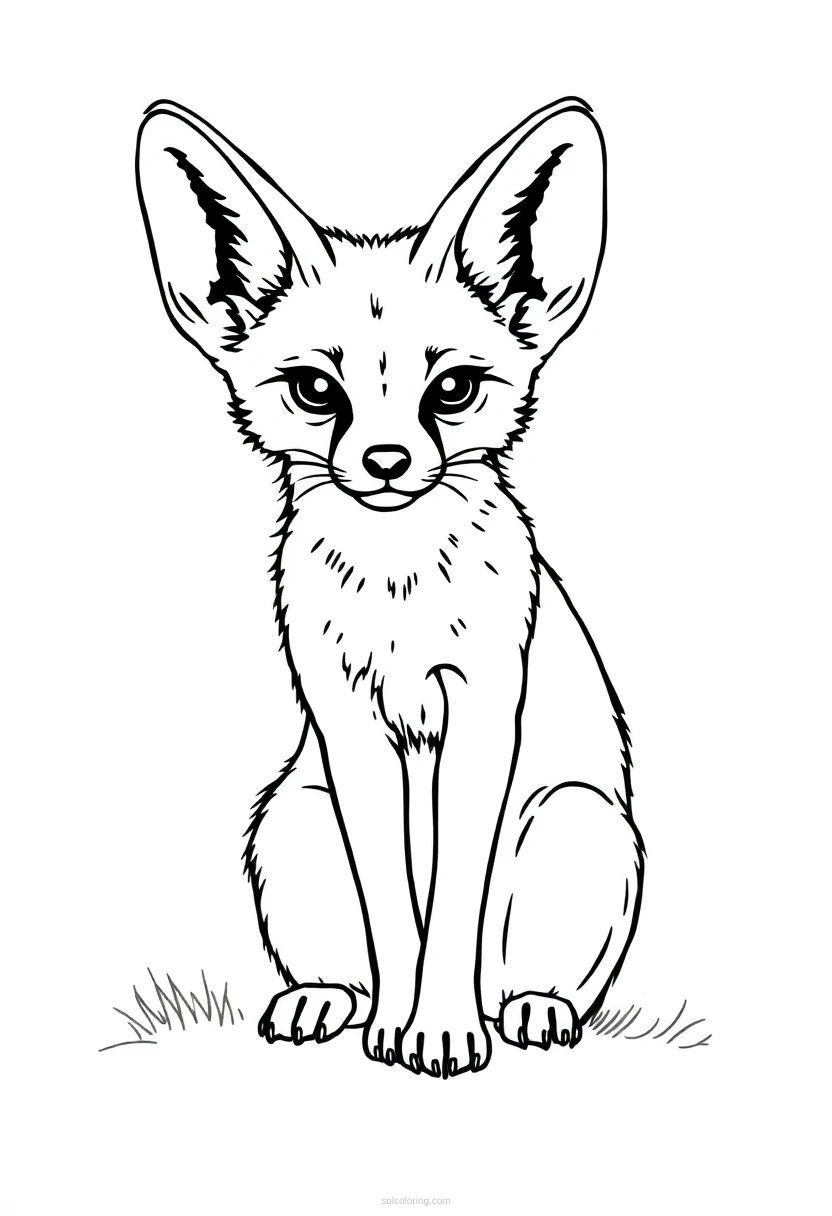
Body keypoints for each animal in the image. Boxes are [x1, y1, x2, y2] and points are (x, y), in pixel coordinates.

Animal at [136, 97, 644, 1078]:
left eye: (452, 390)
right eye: (312, 389)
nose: (385, 463)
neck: (396, 594)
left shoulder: (482, 710)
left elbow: (448, 900)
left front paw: (441, 1029)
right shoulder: (348, 724)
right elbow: (392, 907)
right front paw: (403, 1024)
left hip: (577, 819)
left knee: (528, 972)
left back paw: (527, 1007)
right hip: (291, 819)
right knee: (345, 958)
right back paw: (330, 999)